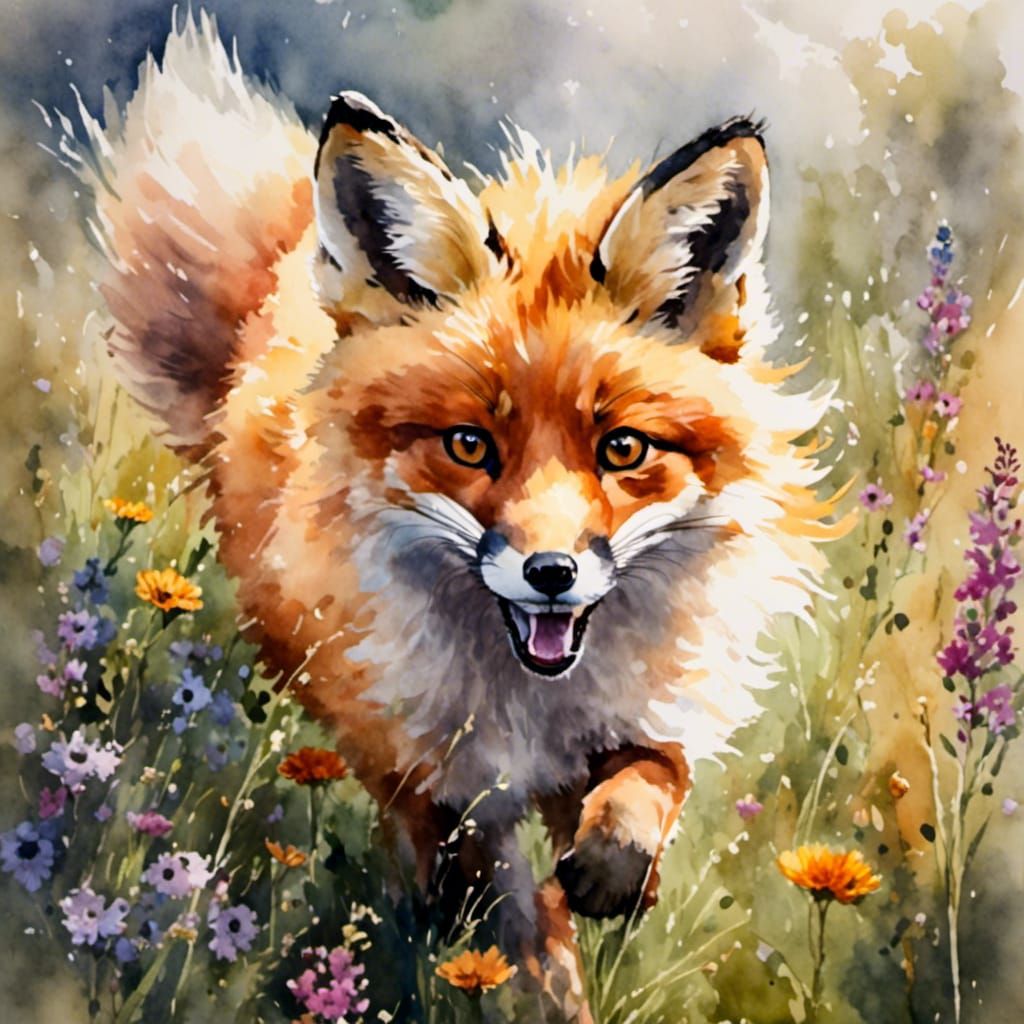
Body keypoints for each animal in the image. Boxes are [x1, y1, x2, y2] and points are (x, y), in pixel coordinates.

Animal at [70, 13, 843, 1021]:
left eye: (623, 450)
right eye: (471, 445)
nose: (551, 574)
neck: (537, 709)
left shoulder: (646, 713)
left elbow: (647, 784)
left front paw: (616, 866)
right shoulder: (450, 784)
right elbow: (521, 933)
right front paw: (538, 978)